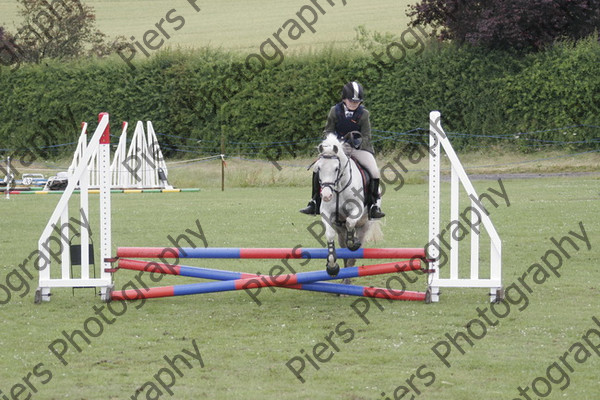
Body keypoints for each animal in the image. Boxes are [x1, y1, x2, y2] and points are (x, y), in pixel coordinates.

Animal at [312, 133, 382, 276]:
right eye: (319, 168)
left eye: (336, 169)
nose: (326, 195)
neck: (339, 187)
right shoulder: (326, 213)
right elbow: (329, 234)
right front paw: (332, 266)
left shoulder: (357, 209)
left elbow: (350, 222)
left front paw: (352, 243)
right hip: (340, 229)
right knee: (344, 249)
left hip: (365, 224)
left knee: (356, 246)